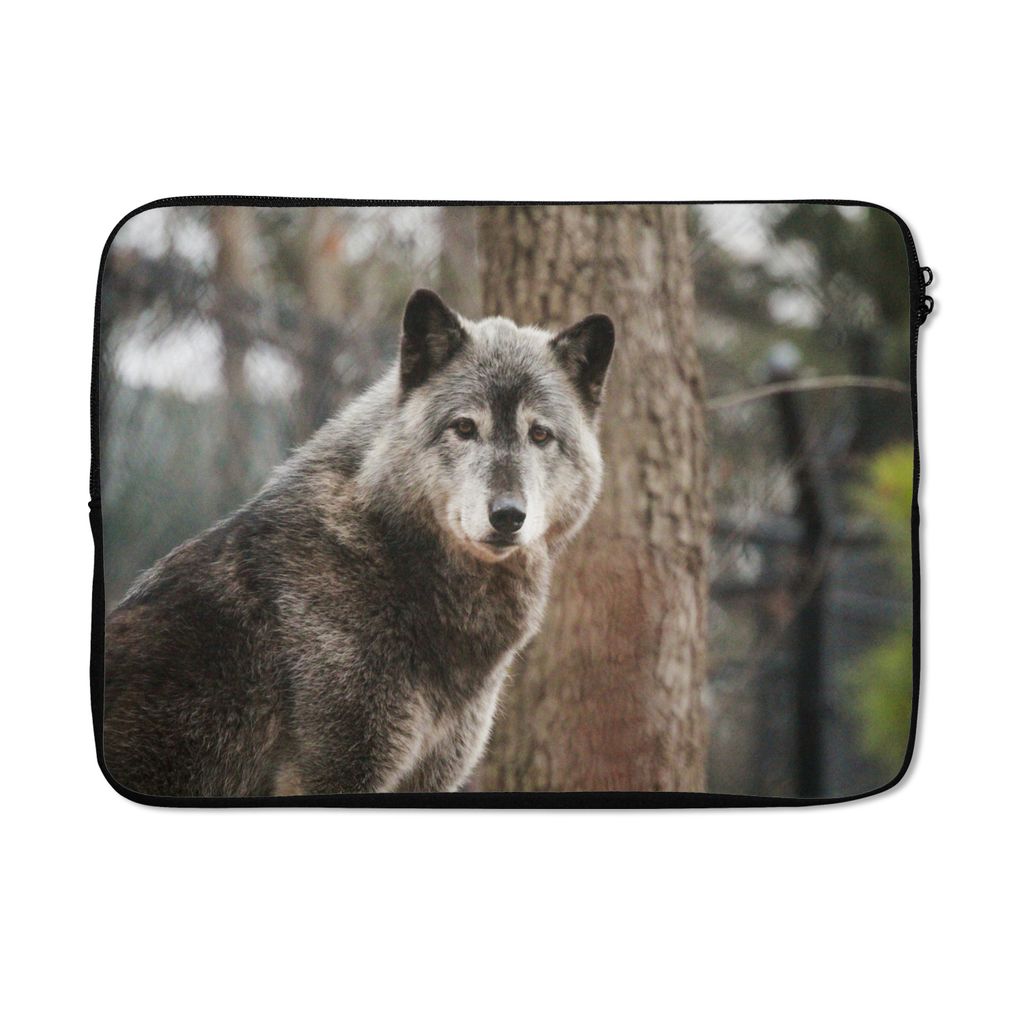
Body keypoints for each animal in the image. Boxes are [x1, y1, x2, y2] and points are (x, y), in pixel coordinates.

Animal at [102, 289, 615, 797]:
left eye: (540, 434)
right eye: (465, 427)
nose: (508, 515)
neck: (393, 561)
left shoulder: (431, 778)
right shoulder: (329, 775)